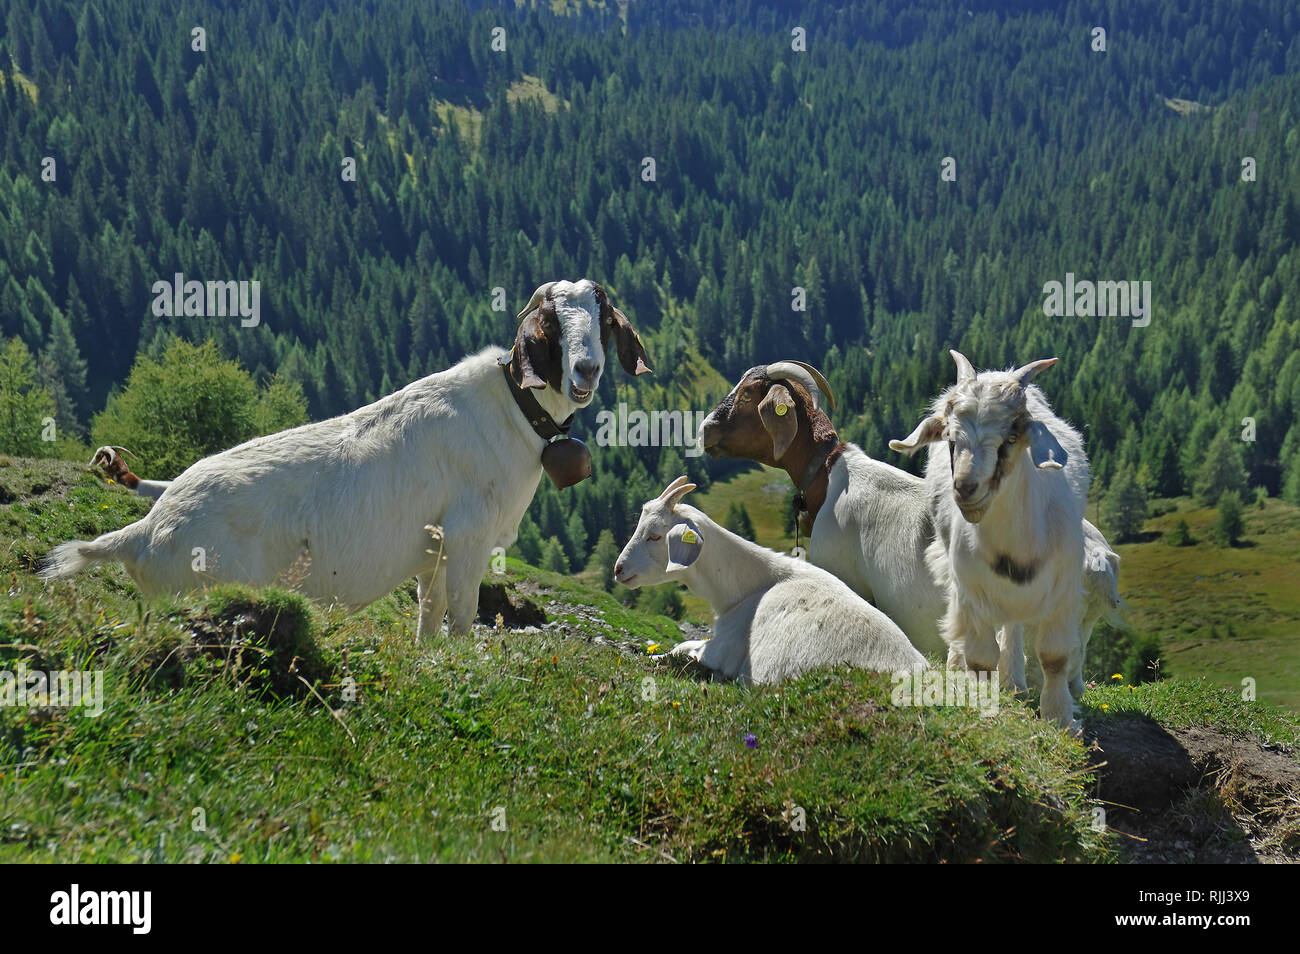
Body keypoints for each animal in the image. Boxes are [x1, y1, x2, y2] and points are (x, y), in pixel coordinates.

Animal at [40, 280, 650, 647]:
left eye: (603, 320)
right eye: (551, 323)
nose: (586, 370)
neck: (509, 412)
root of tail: (145, 533)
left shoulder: (433, 550)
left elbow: (429, 618)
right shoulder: (467, 536)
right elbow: (460, 618)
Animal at [611, 478, 925, 686]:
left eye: (655, 535)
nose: (618, 569)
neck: (744, 589)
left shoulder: (722, 651)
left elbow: (683, 646)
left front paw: (655, 657)